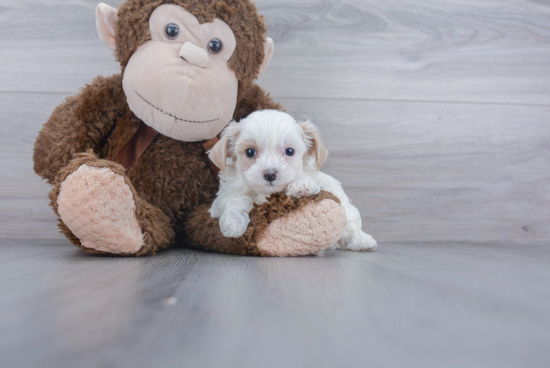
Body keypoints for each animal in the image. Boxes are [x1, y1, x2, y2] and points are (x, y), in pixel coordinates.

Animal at [209, 110, 378, 253]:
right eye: (250, 152)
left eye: (289, 151)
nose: (270, 174)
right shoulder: (222, 198)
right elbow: (236, 198)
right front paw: (233, 222)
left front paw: (301, 186)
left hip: (349, 212)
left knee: (351, 226)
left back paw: (362, 241)